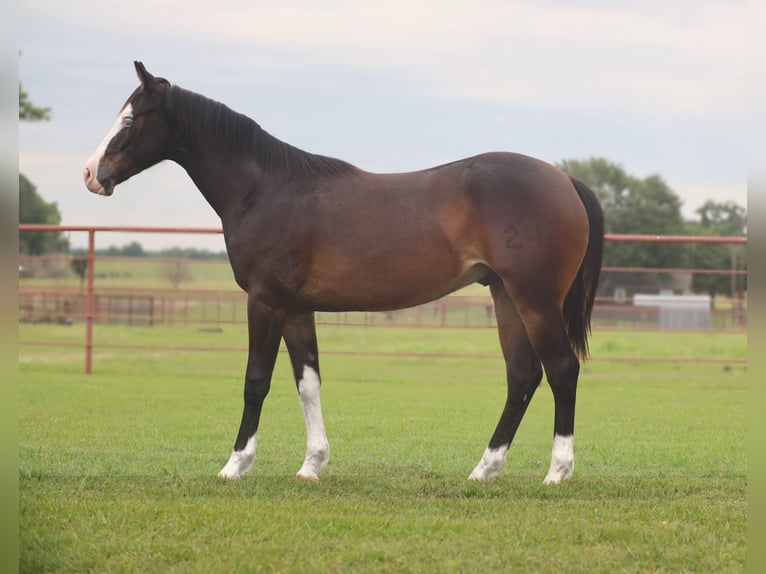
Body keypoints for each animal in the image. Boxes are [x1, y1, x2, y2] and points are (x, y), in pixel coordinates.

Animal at [84, 62, 603, 484]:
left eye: (129, 119)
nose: (91, 174)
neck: (265, 188)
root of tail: (564, 179)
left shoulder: (266, 300)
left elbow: (256, 380)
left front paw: (235, 465)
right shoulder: (296, 308)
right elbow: (307, 383)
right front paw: (311, 465)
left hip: (535, 299)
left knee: (561, 369)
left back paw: (556, 473)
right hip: (505, 297)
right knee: (522, 376)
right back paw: (484, 470)